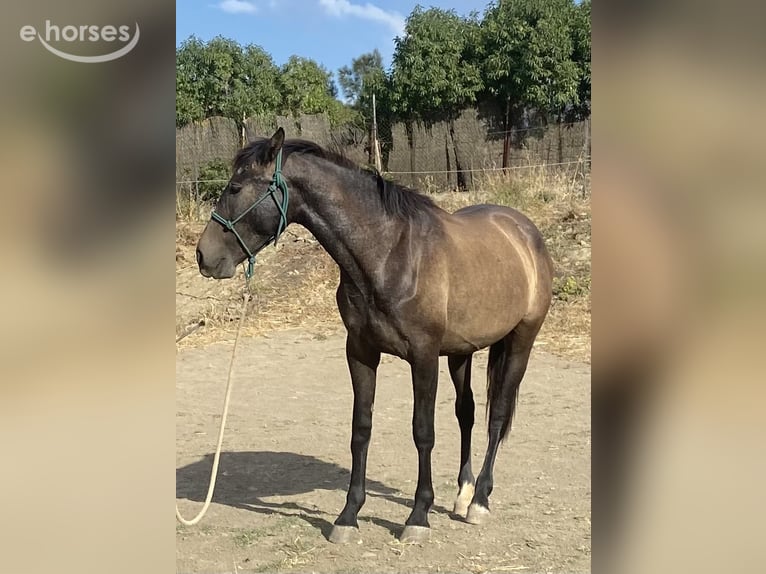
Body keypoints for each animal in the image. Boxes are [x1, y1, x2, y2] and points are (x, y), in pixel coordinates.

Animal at [195, 128, 554, 544]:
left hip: (520, 342)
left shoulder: (424, 357)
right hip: (461, 352)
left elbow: (423, 432)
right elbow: (361, 430)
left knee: (497, 416)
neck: (388, 254)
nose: (203, 256)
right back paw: (463, 495)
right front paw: (348, 515)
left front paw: (418, 516)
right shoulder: (361, 352)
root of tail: (524, 230)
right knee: (466, 413)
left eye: (236, 187)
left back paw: (479, 501)